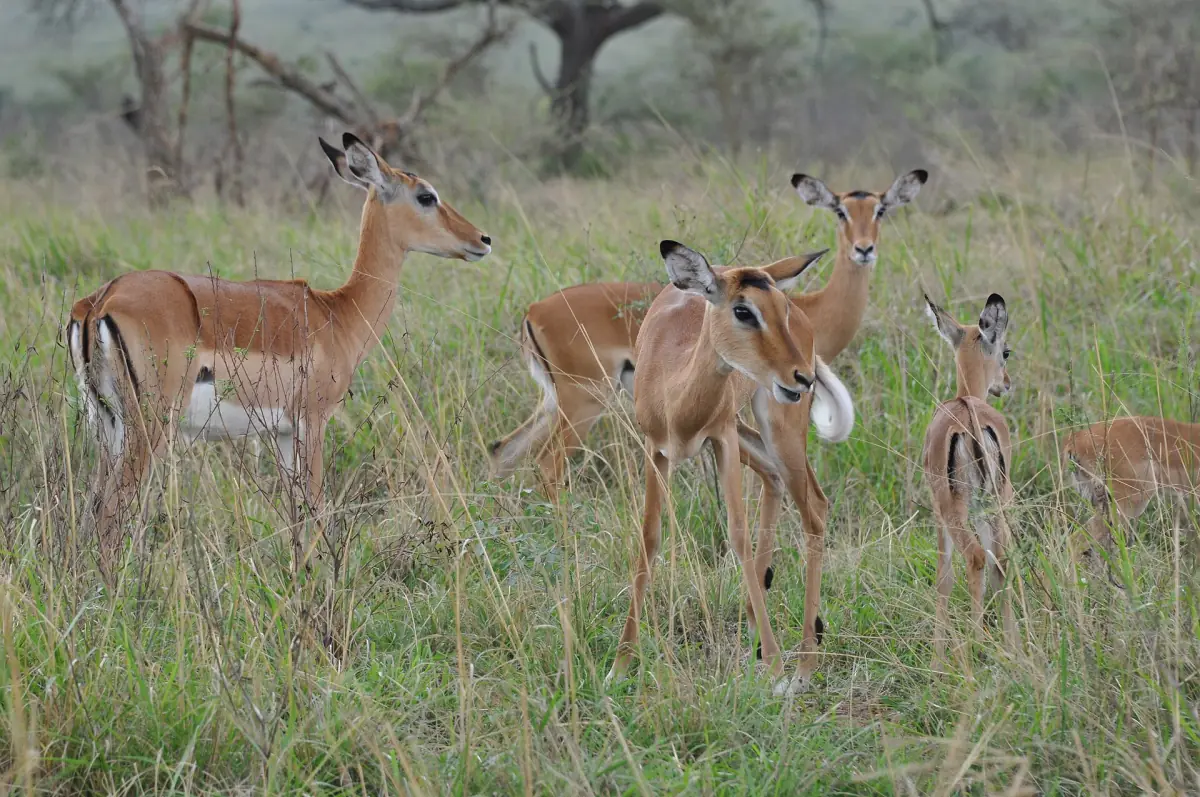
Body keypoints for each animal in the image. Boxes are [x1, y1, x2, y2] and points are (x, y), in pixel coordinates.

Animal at [67, 133, 492, 577]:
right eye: (426, 195)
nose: (483, 240)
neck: (336, 313)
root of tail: (102, 300)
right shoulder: (313, 422)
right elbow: (317, 507)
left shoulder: (283, 433)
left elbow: (295, 515)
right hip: (149, 426)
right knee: (109, 512)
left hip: (107, 426)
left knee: (91, 509)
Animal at [488, 170, 926, 493]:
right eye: (840, 211)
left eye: (881, 210)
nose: (864, 249)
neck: (813, 310)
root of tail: (533, 311)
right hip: (584, 402)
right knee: (547, 463)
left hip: (555, 402)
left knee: (503, 451)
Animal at [606, 241, 854, 693]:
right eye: (743, 310)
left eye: (780, 308)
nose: (803, 377)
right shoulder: (657, 449)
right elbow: (649, 538)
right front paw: (619, 665)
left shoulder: (719, 439)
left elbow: (737, 535)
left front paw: (775, 669)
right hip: (748, 433)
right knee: (775, 479)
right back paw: (759, 635)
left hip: (778, 427)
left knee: (814, 508)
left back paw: (802, 669)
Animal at [921, 292, 1016, 667]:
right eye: (1005, 352)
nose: (1007, 384)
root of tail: (971, 414)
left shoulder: (939, 512)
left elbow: (943, 576)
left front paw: (936, 660)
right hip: (996, 502)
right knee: (1001, 559)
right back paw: (1007, 646)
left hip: (957, 510)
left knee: (975, 558)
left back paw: (976, 645)